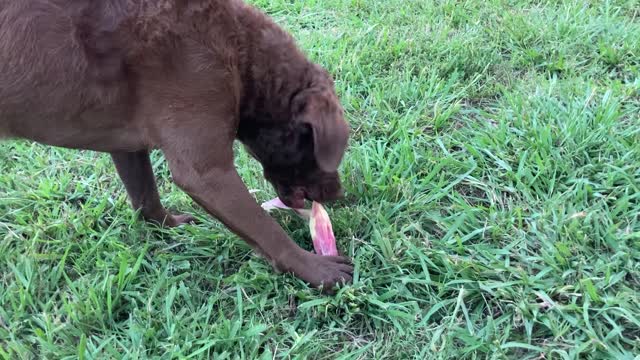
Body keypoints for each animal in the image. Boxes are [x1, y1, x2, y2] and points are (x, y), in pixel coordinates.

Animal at [0, 0, 356, 288]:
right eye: (329, 154)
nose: (339, 194)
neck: (241, 55)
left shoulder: (128, 144)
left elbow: (145, 196)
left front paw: (168, 227)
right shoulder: (207, 171)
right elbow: (266, 228)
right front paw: (317, 269)